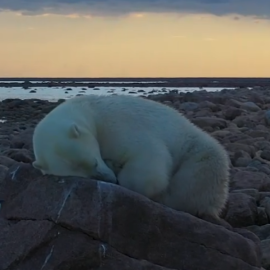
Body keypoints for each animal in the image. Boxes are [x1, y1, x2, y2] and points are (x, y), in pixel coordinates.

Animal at [31, 94, 230, 218]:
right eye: (85, 177)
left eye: (94, 162)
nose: (111, 179)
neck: (88, 110)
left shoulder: (115, 125)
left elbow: (149, 163)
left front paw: (121, 174)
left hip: (198, 152)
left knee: (193, 182)